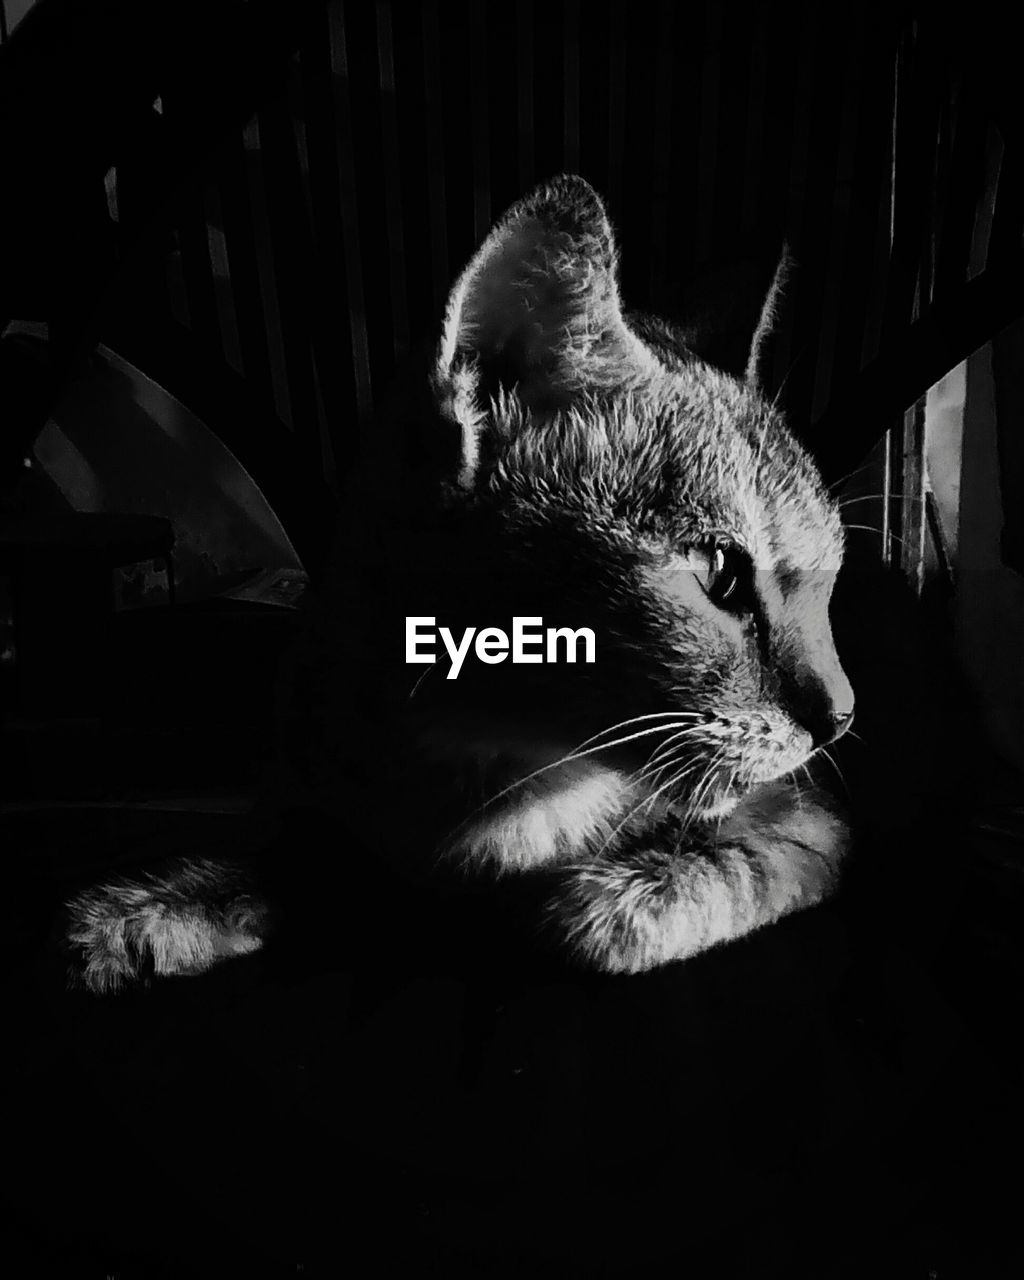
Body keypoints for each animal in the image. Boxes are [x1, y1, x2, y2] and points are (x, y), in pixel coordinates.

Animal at [65, 172, 855, 988]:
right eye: (718, 572)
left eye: (829, 582)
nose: (841, 718)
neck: (481, 756)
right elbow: (291, 848)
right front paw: (159, 903)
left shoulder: (812, 820)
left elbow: (709, 870)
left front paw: (610, 895)